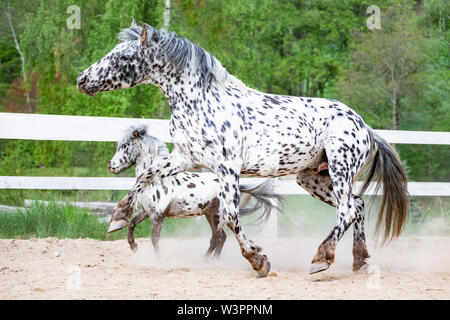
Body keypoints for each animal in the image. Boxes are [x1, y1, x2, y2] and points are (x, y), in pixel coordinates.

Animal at [107, 124, 282, 258]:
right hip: (210, 215)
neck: (157, 181)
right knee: (221, 238)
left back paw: (206, 260)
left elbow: (154, 239)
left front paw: (158, 260)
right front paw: (133, 246)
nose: (111, 166)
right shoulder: (146, 211)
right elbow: (131, 224)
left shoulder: (158, 216)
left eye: (124, 146)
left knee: (217, 238)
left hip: (217, 216)